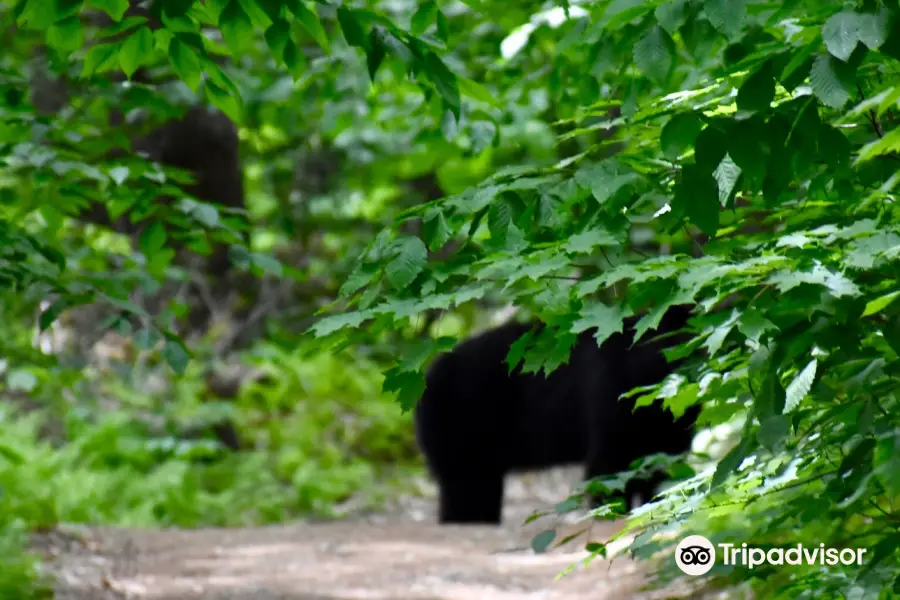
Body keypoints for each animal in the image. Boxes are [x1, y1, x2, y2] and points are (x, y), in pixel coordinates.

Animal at [412, 302, 700, 524]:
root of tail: (428, 377)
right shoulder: (608, 398)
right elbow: (607, 470)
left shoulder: (671, 430)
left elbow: (663, 469)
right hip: (461, 428)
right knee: (465, 490)